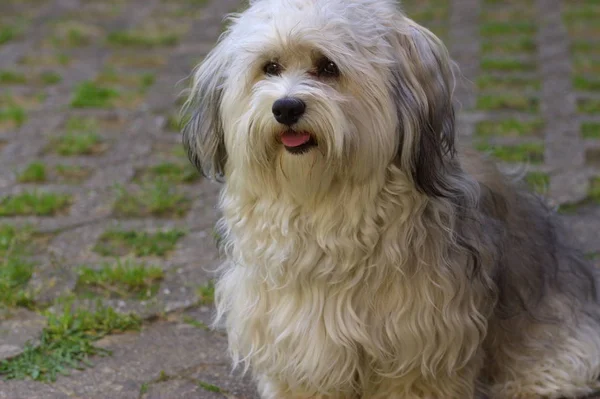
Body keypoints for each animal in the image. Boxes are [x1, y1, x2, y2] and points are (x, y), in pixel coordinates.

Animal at [180, 0, 600, 396]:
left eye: (328, 67)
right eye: (270, 67)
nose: (286, 107)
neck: (324, 206)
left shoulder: (420, 340)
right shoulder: (295, 337)